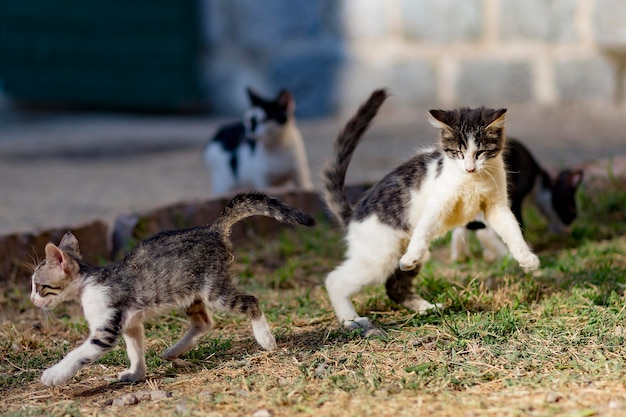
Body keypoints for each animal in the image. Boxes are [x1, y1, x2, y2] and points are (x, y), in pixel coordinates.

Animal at [30, 190, 312, 386]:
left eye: (39, 286)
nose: (32, 300)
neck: (89, 284)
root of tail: (211, 229)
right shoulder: (130, 324)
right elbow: (135, 349)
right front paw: (136, 373)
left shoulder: (105, 329)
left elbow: (78, 354)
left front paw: (54, 374)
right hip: (190, 292)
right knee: (204, 323)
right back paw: (174, 351)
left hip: (214, 289)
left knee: (250, 301)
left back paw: (266, 340)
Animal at [322, 89, 536, 336]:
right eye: (458, 153)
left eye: (480, 152)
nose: (470, 168)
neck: (472, 180)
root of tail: (354, 213)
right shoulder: (437, 202)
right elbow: (424, 227)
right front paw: (411, 255)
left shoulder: (496, 206)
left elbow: (512, 230)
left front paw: (526, 258)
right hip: (379, 256)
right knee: (335, 280)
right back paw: (352, 320)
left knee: (395, 287)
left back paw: (426, 308)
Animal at [450, 137, 584, 260]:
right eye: (571, 212)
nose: (568, 232)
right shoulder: (517, 198)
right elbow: (518, 225)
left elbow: (461, 229)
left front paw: (463, 255)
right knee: (484, 233)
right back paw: (508, 256)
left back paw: (460, 256)